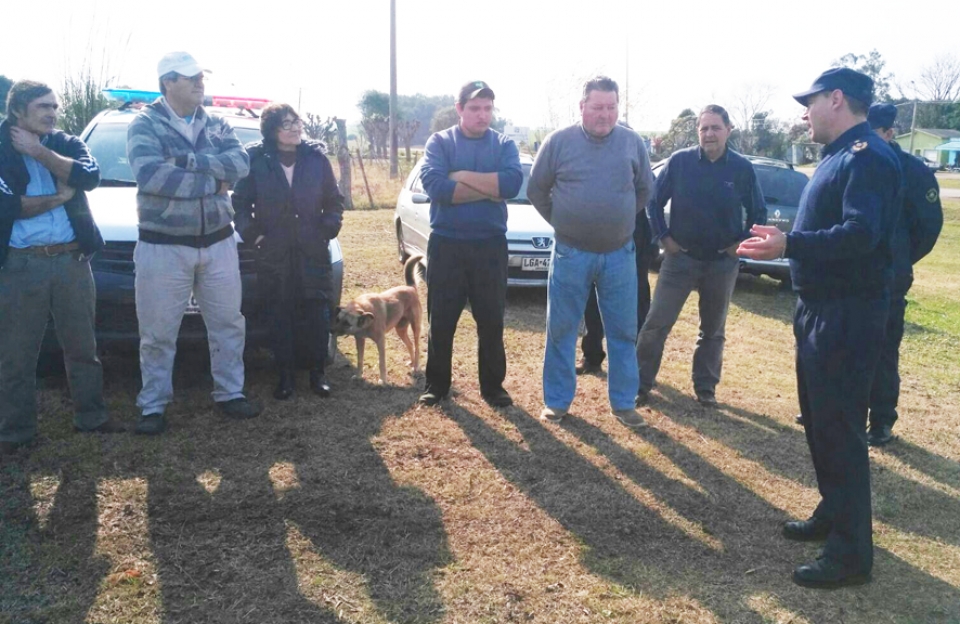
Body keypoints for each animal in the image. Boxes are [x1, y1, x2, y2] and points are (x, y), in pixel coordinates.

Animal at [331, 254, 424, 385]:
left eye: (346, 323)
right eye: (338, 319)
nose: (330, 330)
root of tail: (410, 287)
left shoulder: (380, 341)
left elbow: (381, 363)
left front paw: (383, 380)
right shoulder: (360, 340)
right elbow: (360, 360)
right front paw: (358, 376)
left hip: (415, 327)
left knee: (417, 347)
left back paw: (416, 367)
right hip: (400, 330)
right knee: (410, 345)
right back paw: (412, 362)